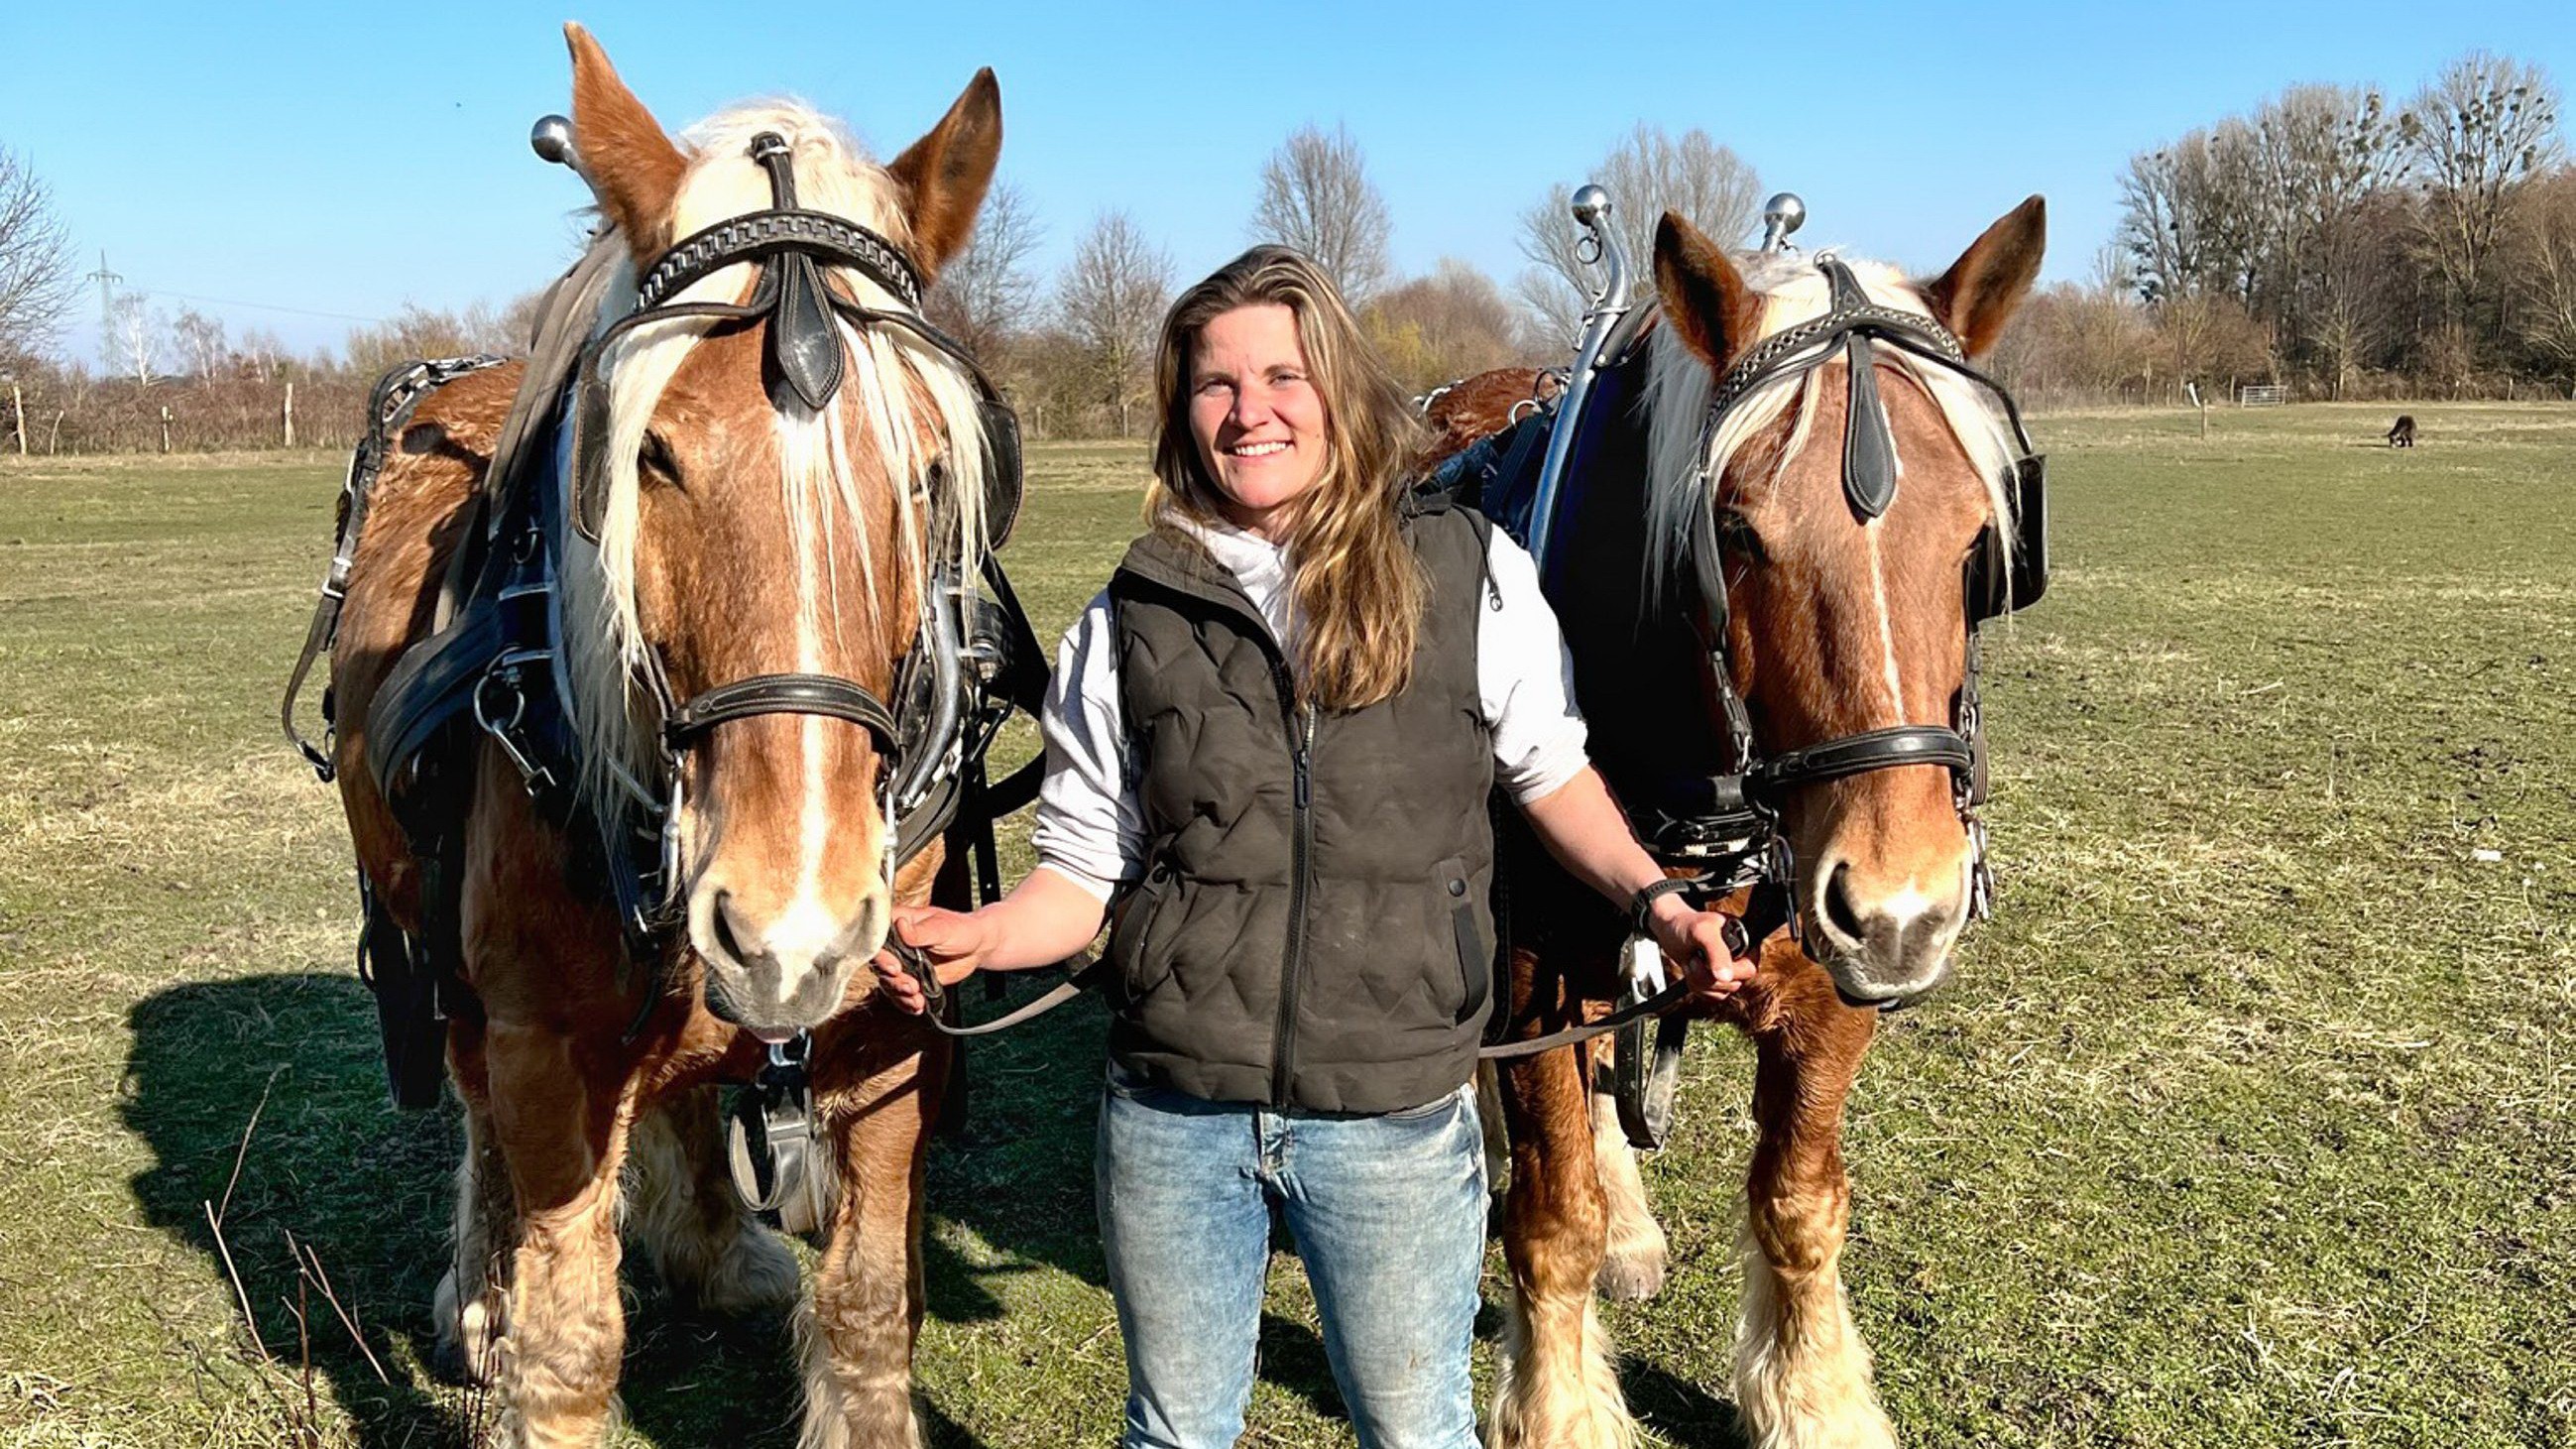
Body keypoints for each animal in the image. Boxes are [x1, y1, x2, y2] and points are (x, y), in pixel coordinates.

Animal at [306, 25, 1009, 1443]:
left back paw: (719, 1244)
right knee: (476, 1115)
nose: (790, 926)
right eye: (653, 458)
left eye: (922, 471)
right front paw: (515, 1330)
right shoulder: (541, 1045)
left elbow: (869, 1305)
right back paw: (481, 1293)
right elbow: (572, 1339)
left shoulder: (892, 1023)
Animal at [1453, 194, 2050, 1443]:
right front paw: (1560, 1411)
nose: (1904, 909)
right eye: (1734, 531)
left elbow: (1798, 1205)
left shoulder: (1827, 988)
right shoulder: (1531, 965)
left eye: (1979, 539)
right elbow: (1553, 1220)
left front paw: (1814, 1404)